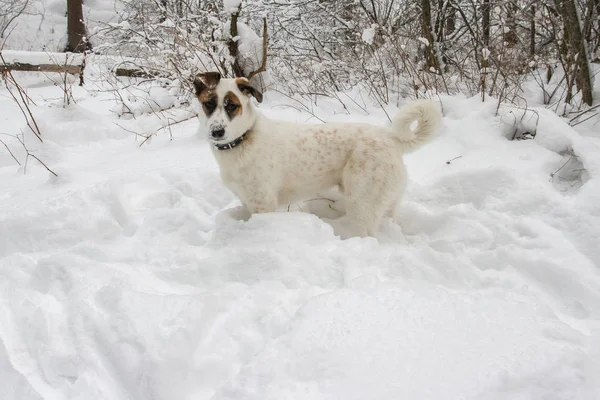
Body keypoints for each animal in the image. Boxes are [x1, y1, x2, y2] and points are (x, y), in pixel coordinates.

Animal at [195, 72, 442, 238]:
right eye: (209, 104)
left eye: (232, 106)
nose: (217, 131)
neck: (244, 139)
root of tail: (391, 138)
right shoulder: (247, 201)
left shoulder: (264, 204)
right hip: (385, 201)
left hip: (361, 204)